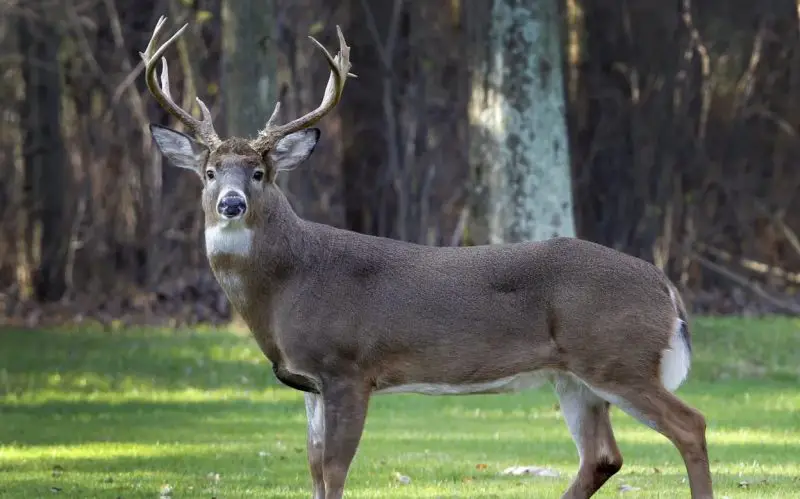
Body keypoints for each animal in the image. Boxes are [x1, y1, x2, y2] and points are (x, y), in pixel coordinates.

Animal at [141, 17, 713, 499]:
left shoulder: (348, 367)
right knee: (603, 456)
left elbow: (334, 470)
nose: (231, 204)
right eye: (209, 173)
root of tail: (665, 287)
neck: (287, 284)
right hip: (573, 376)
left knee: (691, 425)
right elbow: (314, 469)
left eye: (259, 173)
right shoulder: (308, 383)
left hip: (617, 356)